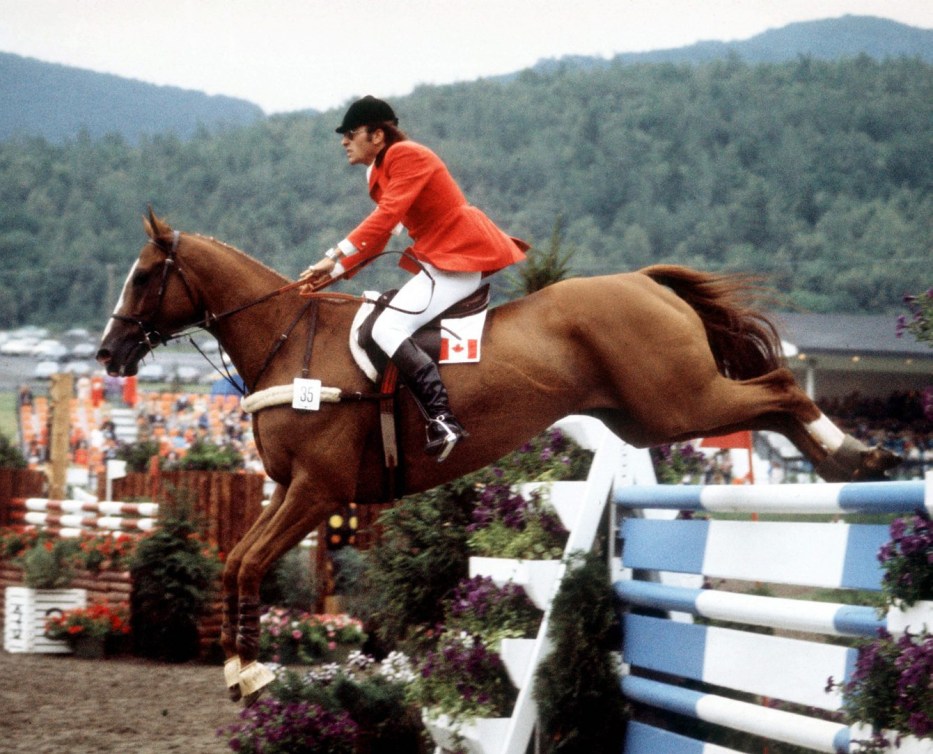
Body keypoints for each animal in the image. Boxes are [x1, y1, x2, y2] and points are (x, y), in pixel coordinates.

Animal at [96, 210, 904, 700]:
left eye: (143, 276)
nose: (107, 354)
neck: (289, 340)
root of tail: (644, 282)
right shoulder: (290, 490)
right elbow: (238, 562)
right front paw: (240, 669)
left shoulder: (317, 492)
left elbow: (252, 562)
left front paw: (255, 669)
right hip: (648, 417)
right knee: (771, 400)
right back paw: (847, 467)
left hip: (681, 402)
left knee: (779, 388)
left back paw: (857, 458)